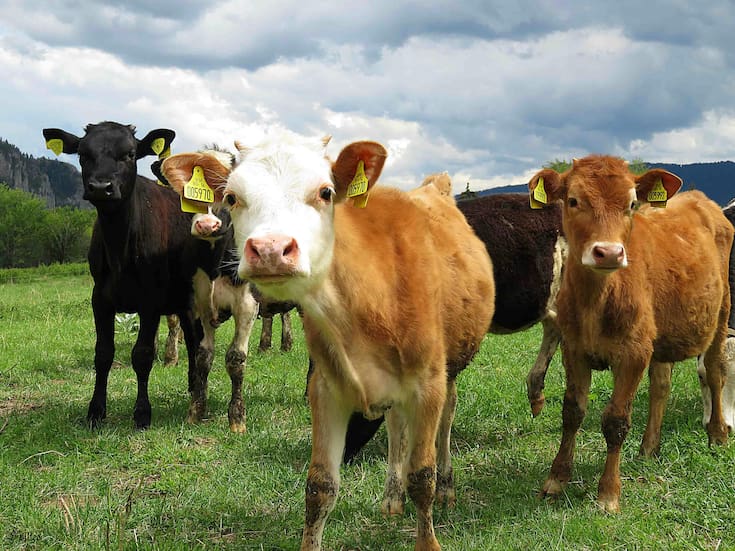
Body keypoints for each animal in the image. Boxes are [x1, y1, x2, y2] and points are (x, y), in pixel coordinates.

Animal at [41, 122, 240, 430]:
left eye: (130, 154)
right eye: (83, 154)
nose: (101, 187)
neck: (120, 249)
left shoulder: (150, 301)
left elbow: (143, 354)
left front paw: (142, 413)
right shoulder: (100, 298)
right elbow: (103, 353)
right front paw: (96, 411)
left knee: (194, 341)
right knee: (193, 340)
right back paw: (192, 386)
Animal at [159, 131, 495, 551]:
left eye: (325, 192)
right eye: (233, 197)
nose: (270, 249)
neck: (370, 300)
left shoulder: (427, 384)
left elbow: (423, 477)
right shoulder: (326, 387)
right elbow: (320, 486)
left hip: (449, 370)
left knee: (446, 419)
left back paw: (447, 486)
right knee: (396, 426)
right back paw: (391, 496)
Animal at [528, 155, 733, 513]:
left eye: (632, 204)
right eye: (573, 201)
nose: (609, 252)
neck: (597, 299)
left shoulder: (633, 353)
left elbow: (616, 420)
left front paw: (608, 492)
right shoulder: (574, 349)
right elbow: (572, 412)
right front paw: (556, 479)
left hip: (720, 315)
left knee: (714, 370)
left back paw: (717, 433)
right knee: (661, 385)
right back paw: (649, 448)